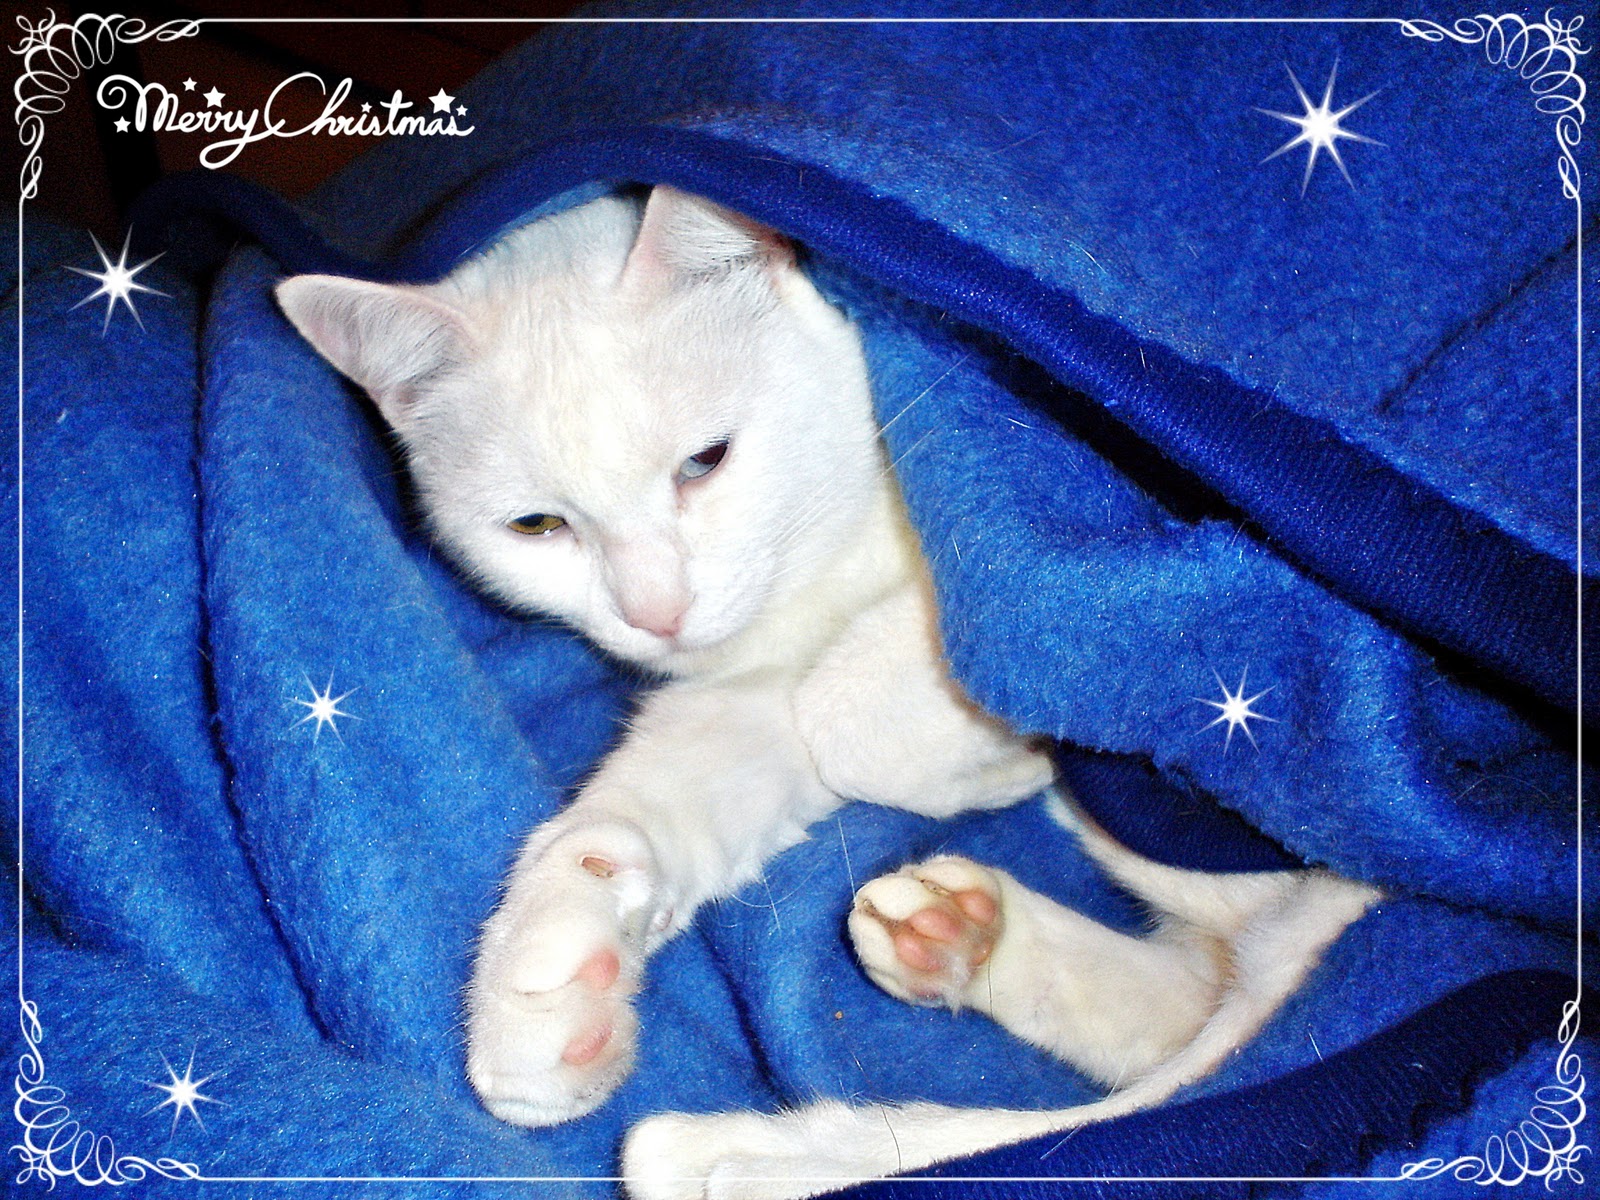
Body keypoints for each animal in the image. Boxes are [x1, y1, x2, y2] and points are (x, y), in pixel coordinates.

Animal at [276, 187, 1378, 1199]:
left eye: (706, 459)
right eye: (537, 526)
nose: (655, 612)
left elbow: (857, 714)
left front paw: (1004, 758)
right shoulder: (744, 679)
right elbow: (646, 808)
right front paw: (553, 960)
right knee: (1186, 1008)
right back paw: (955, 945)